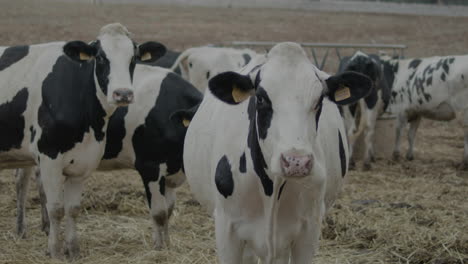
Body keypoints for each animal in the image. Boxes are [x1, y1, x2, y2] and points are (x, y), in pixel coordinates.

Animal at [0, 22, 166, 258]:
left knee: (21, 182)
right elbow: (56, 209)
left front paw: (73, 250)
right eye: (101, 58)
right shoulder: (49, 157)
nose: (123, 94)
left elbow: (73, 209)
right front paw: (55, 252)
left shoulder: (83, 162)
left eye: (133, 58)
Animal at [14, 65, 201, 249]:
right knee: (22, 183)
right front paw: (159, 248)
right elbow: (159, 213)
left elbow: (168, 210)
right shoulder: (150, 166)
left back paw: (45, 226)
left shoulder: (170, 172)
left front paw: (168, 244)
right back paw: (21, 229)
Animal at [183, 42, 372, 262]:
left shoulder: (309, 228)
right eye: (261, 98)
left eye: (319, 102)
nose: (296, 162)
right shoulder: (226, 226)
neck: (271, 187)